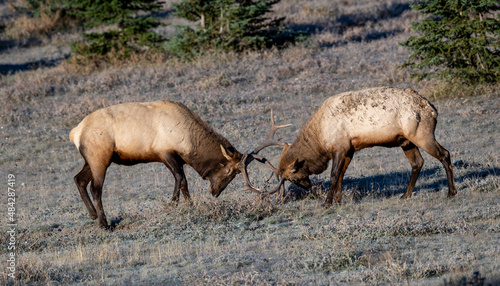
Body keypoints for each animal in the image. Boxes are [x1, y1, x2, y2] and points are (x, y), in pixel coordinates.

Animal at [71, 100, 290, 228]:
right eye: (230, 171)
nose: (214, 192)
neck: (188, 141)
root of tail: (75, 132)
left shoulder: (178, 158)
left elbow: (184, 182)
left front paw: (190, 205)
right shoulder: (165, 152)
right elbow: (179, 178)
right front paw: (172, 203)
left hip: (93, 159)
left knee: (78, 179)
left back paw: (93, 215)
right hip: (100, 157)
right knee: (96, 188)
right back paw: (104, 224)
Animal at [242, 86, 458, 203]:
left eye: (291, 177)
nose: (307, 186)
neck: (320, 138)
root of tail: (433, 109)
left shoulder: (339, 147)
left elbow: (334, 175)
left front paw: (327, 202)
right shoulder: (349, 149)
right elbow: (342, 175)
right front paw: (338, 199)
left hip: (421, 134)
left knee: (445, 154)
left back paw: (451, 192)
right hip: (406, 141)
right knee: (417, 163)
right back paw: (405, 195)